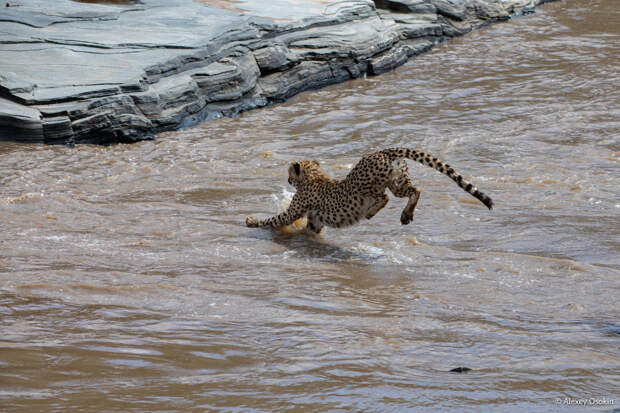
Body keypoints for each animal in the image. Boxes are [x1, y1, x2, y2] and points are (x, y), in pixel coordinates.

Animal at [247, 147, 494, 232]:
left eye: (290, 173)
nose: (288, 179)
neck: (314, 176)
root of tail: (384, 151)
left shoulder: (295, 210)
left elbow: (275, 218)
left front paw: (252, 221)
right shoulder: (315, 220)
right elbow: (311, 228)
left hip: (367, 185)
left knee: (383, 197)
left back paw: (371, 212)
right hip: (398, 182)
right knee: (416, 190)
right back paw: (406, 215)